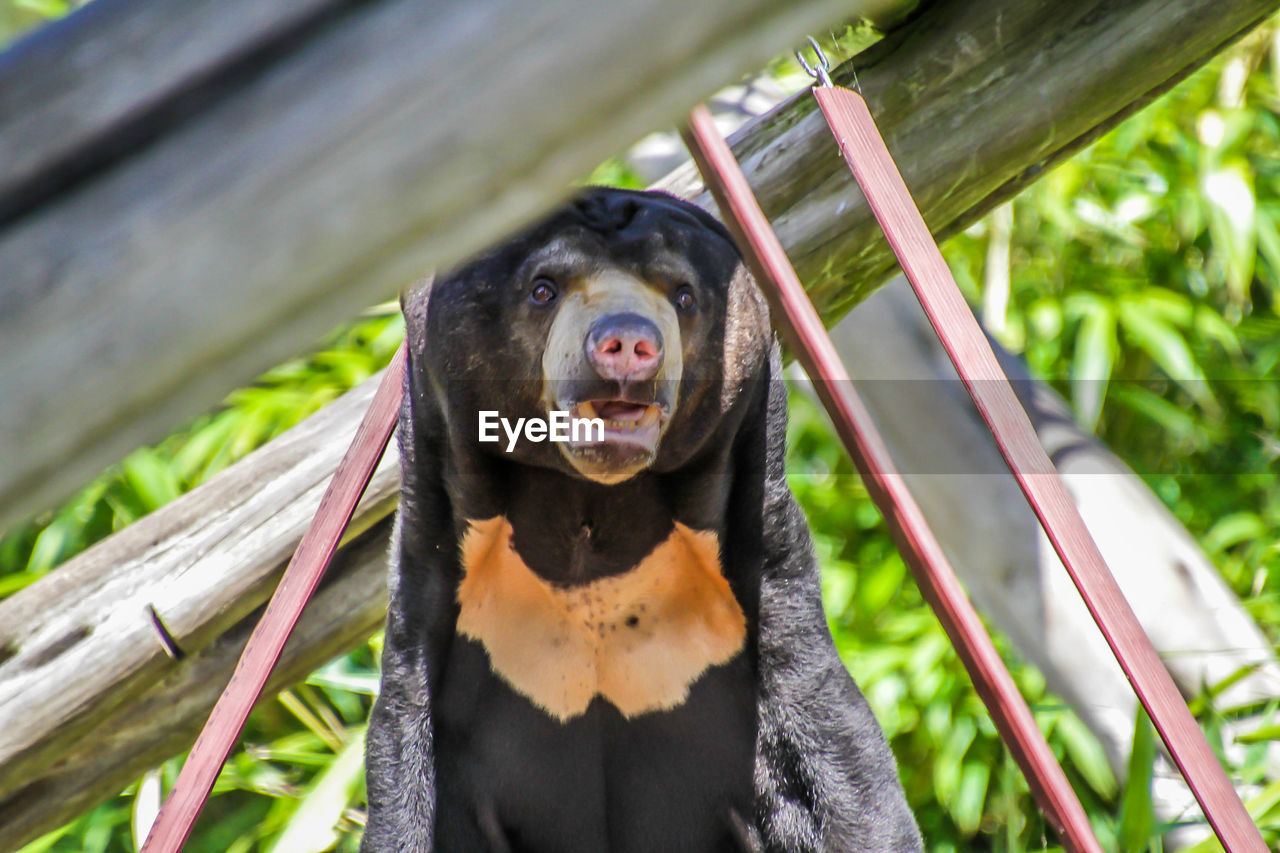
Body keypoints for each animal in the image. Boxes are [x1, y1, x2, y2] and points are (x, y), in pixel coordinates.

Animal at [360, 188, 921, 850]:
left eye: (683, 295)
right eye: (543, 288)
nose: (628, 343)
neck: (592, 513)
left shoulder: (762, 574)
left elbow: (835, 757)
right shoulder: (436, 574)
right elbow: (403, 772)